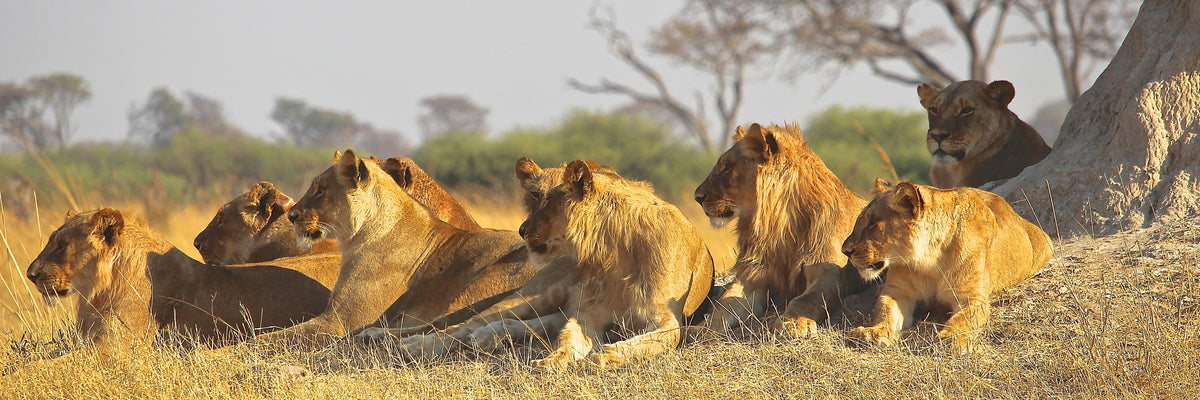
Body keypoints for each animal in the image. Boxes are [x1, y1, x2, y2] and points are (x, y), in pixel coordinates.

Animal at [253, 150, 540, 348]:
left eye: (321, 190)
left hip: (483, 282)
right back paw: (375, 335)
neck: (357, 235)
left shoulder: (339, 321)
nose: (292, 216)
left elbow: (271, 338)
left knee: (450, 323)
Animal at [693, 123, 874, 338]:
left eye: (727, 167)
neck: (780, 227)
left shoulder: (830, 274)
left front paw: (792, 323)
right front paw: (701, 329)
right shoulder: (751, 278)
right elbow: (724, 306)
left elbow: (805, 300)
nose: (697, 197)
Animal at [842, 179, 1053, 352]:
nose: (845, 250)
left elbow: (963, 318)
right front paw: (873, 332)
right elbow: (884, 311)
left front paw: (951, 338)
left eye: (873, 223)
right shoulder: (898, 291)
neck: (928, 260)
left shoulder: (972, 296)